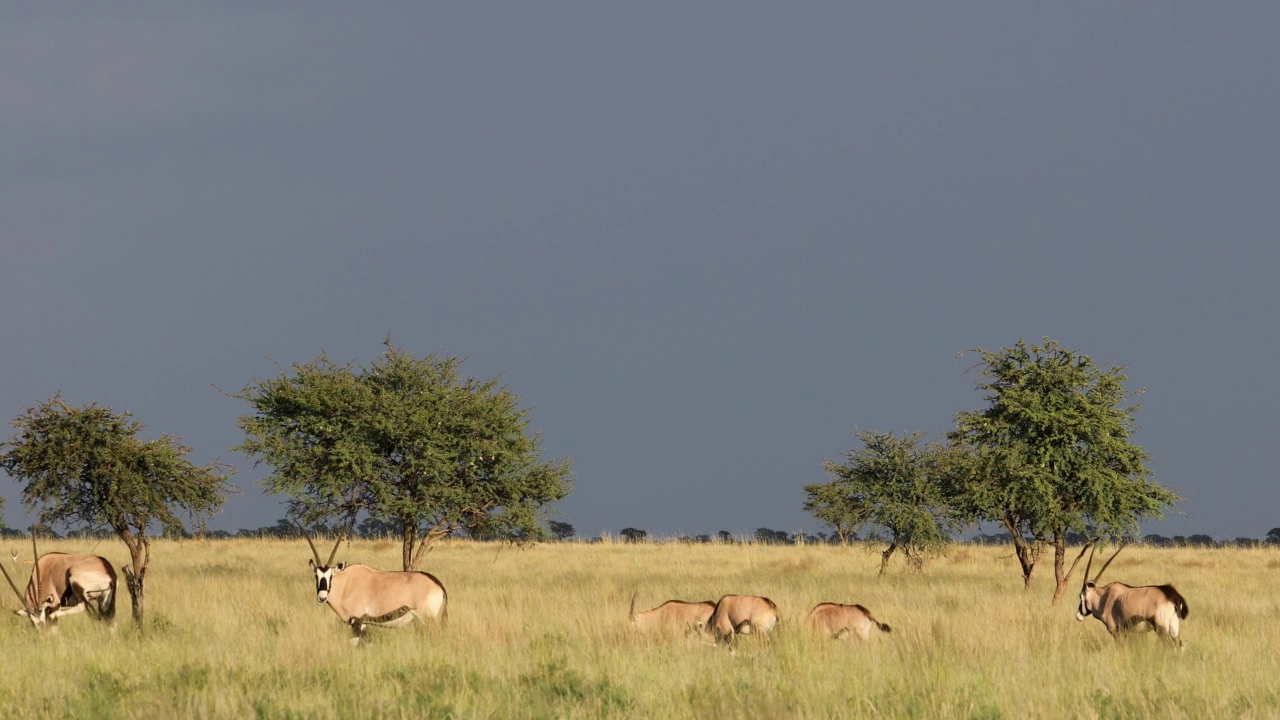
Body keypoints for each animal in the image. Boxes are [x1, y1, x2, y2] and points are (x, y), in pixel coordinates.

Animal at [304, 530, 450, 640]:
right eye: (316, 576)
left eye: (331, 576)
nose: (322, 597)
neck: (346, 585)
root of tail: (437, 584)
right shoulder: (361, 623)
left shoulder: (357, 620)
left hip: (427, 619)